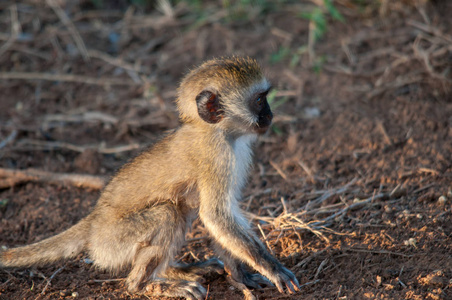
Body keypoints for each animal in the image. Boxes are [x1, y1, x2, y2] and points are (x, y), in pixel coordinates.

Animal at [3, 56, 302, 300]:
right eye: (260, 100)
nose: (270, 115)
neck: (213, 130)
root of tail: (94, 222)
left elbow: (222, 219)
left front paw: (242, 276)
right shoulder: (217, 157)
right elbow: (217, 216)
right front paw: (273, 269)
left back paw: (175, 271)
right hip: (113, 242)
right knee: (167, 214)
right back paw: (145, 285)